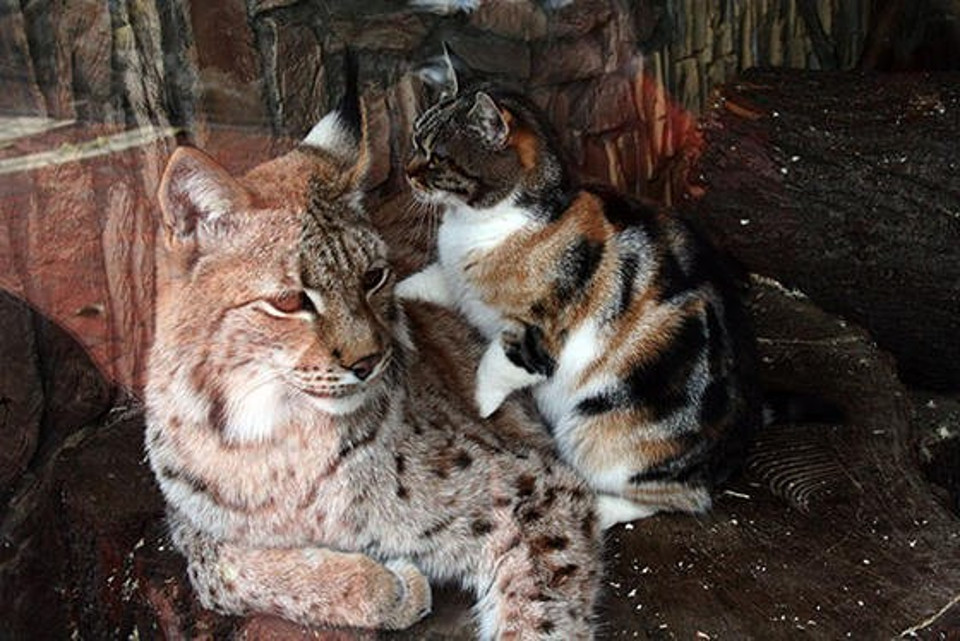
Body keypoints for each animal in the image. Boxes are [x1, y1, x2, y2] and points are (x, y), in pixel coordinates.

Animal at [143, 63, 604, 636]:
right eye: (290, 302)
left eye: (373, 277)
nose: (368, 362)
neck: (275, 433)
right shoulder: (188, 525)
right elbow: (218, 573)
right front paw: (383, 584)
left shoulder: (537, 485)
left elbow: (537, 618)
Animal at [396, 50, 756, 528]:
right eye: (415, 138)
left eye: (436, 157)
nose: (406, 171)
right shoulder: (456, 281)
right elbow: (429, 280)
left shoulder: (538, 336)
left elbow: (496, 364)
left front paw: (481, 405)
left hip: (597, 431)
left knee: (681, 498)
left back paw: (601, 506)